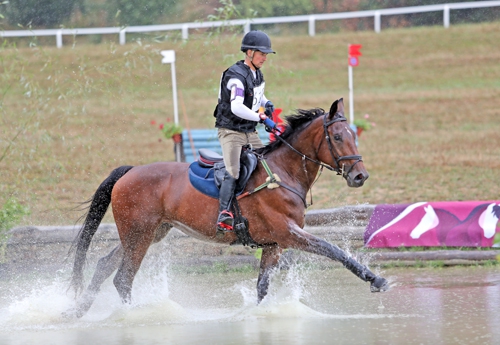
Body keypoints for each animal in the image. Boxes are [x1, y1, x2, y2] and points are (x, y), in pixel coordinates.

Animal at [64, 97, 388, 318]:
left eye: (354, 135)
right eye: (338, 137)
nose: (360, 176)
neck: (284, 173)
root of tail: (129, 172)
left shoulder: (274, 244)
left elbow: (262, 286)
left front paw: (254, 314)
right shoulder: (288, 233)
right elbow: (334, 250)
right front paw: (376, 279)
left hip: (147, 233)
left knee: (105, 265)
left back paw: (77, 311)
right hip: (139, 234)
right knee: (122, 277)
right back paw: (134, 316)